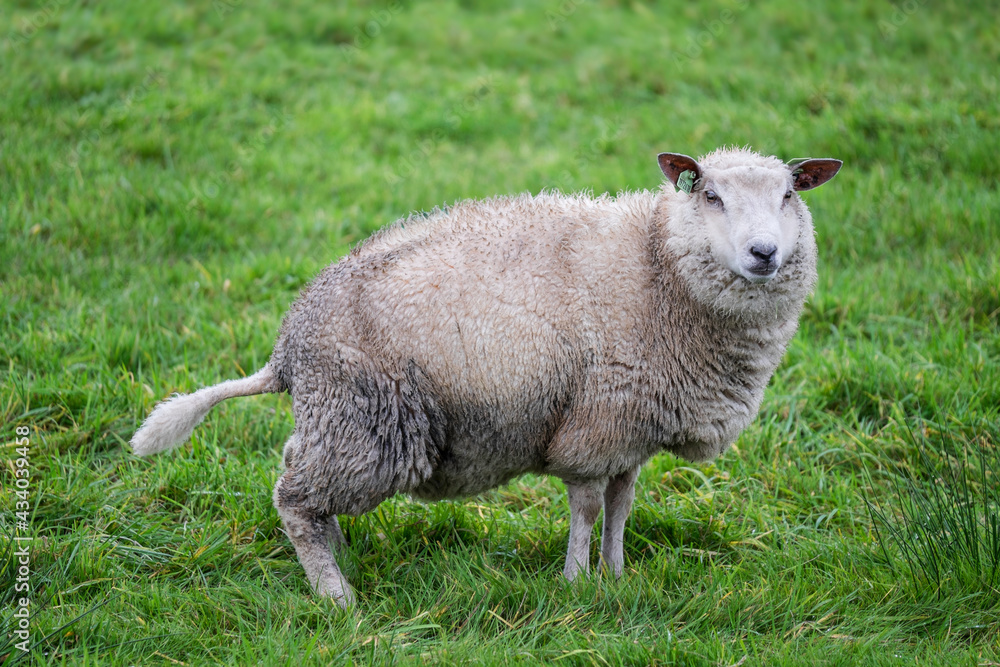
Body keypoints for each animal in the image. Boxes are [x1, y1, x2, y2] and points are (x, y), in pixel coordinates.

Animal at [131, 146, 842, 607]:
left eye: (789, 195)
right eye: (710, 195)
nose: (764, 253)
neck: (657, 267)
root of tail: (287, 349)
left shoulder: (631, 426)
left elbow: (622, 504)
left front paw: (616, 576)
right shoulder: (594, 424)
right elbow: (587, 506)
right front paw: (577, 583)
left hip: (341, 419)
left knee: (298, 476)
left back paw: (339, 555)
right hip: (368, 420)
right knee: (294, 500)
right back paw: (336, 596)